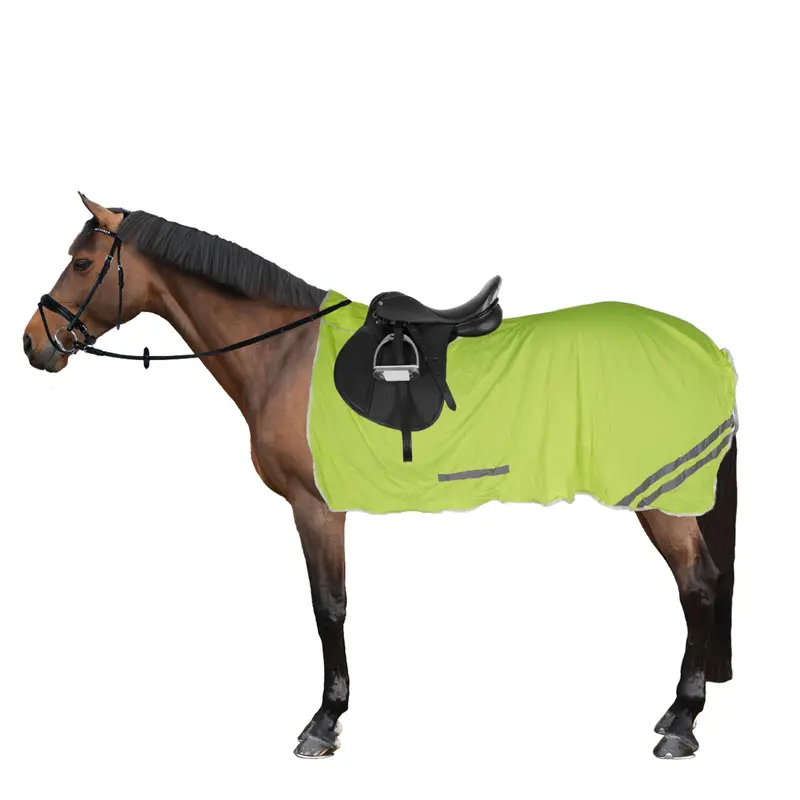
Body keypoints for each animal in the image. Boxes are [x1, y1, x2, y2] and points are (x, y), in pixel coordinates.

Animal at [23, 195, 738, 760]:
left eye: (82, 263)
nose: (34, 342)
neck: (285, 353)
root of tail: (707, 348)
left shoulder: (315, 507)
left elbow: (328, 606)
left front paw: (324, 721)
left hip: (661, 497)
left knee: (698, 584)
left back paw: (682, 723)